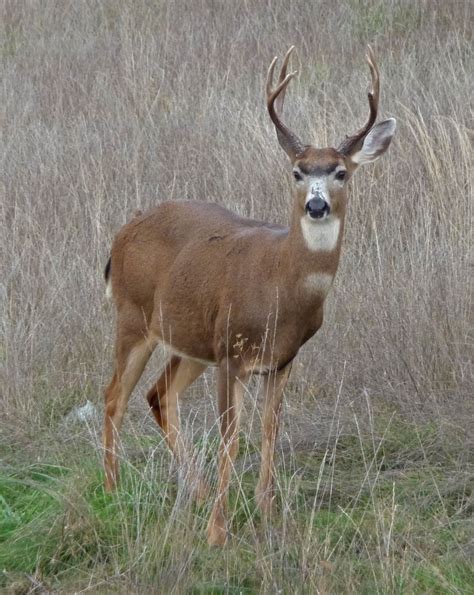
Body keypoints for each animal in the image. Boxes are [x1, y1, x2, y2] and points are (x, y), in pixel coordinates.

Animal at [103, 46, 396, 548]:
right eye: (297, 171)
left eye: (341, 172)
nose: (316, 205)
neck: (280, 291)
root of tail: (122, 233)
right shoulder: (232, 351)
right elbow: (231, 438)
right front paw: (218, 531)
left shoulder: (281, 359)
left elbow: (269, 432)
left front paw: (268, 513)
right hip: (133, 316)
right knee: (113, 398)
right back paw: (114, 492)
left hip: (190, 339)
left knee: (158, 394)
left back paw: (195, 491)